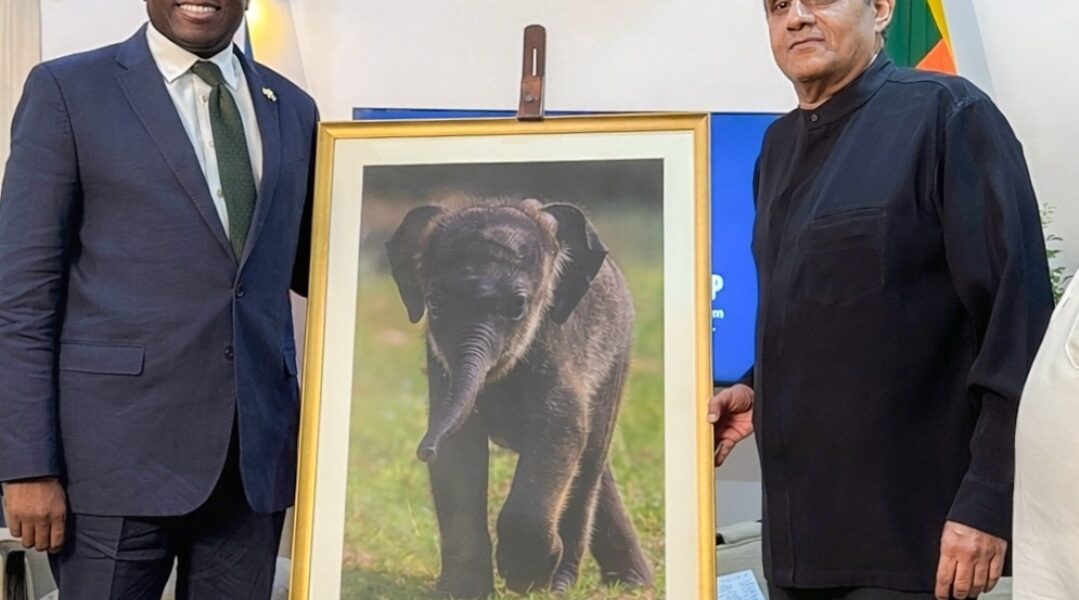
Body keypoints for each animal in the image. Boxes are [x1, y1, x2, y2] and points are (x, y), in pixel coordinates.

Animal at [385, 198, 653, 597]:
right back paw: (631, 581)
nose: (424, 450)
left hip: (619, 355)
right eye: (434, 304)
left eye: (517, 307)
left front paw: (525, 579)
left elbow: (562, 426)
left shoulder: (558, 341)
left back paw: (567, 583)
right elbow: (460, 447)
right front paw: (461, 591)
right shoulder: (439, 365)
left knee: (590, 452)